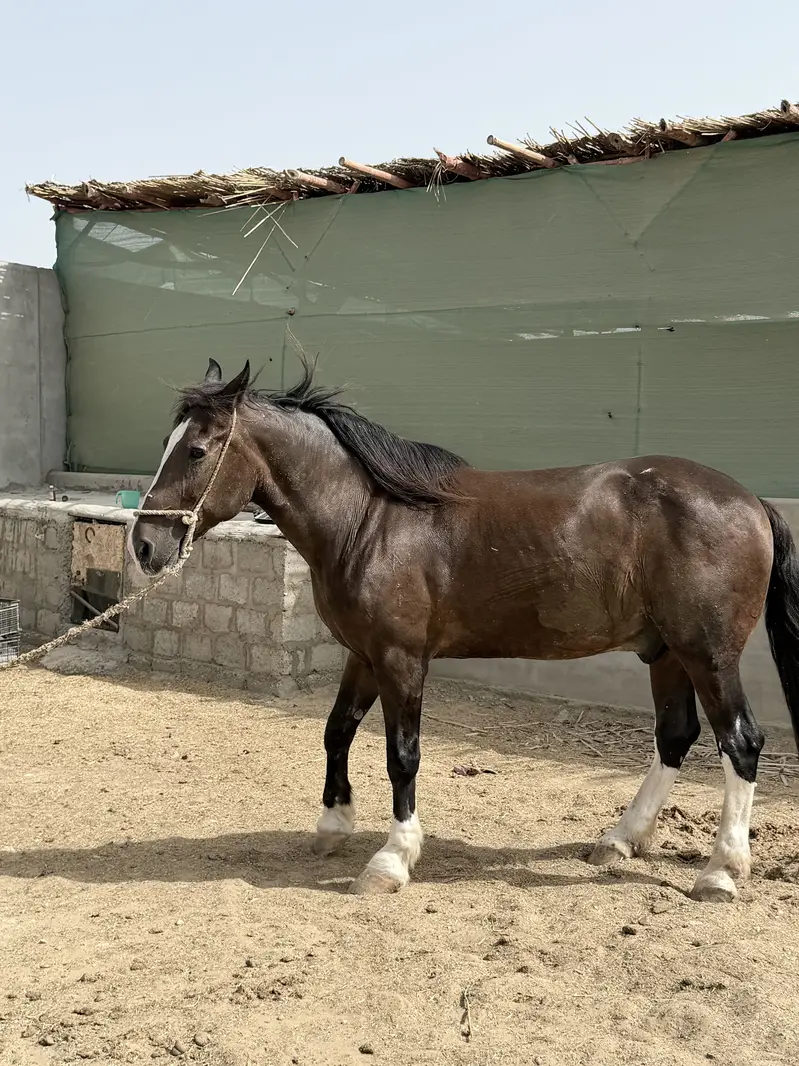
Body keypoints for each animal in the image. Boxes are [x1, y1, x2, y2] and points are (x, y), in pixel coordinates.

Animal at [131, 358, 799, 902]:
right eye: (166, 443)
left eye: (196, 451)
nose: (143, 545)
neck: (370, 519)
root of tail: (750, 501)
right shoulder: (364, 655)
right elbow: (336, 730)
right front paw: (333, 824)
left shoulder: (400, 657)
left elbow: (402, 754)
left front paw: (392, 859)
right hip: (665, 652)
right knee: (675, 735)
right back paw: (620, 839)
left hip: (707, 653)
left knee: (741, 742)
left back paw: (721, 871)